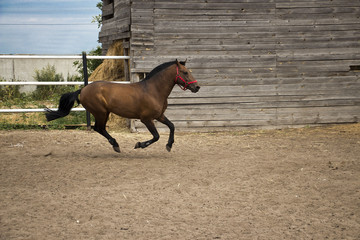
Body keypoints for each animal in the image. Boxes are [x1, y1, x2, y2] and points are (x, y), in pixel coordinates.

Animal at [45, 59, 200, 153]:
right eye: (185, 72)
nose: (197, 87)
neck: (153, 90)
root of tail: (82, 90)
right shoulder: (146, 119)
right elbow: (156, 136)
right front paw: (139, 144)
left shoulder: (159, 116)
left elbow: (172, 126)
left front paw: (169, 145)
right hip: (101, 112)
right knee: (98, 128)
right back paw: (116, 145)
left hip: (104, 113)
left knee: (100, 129)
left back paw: (115, 145)